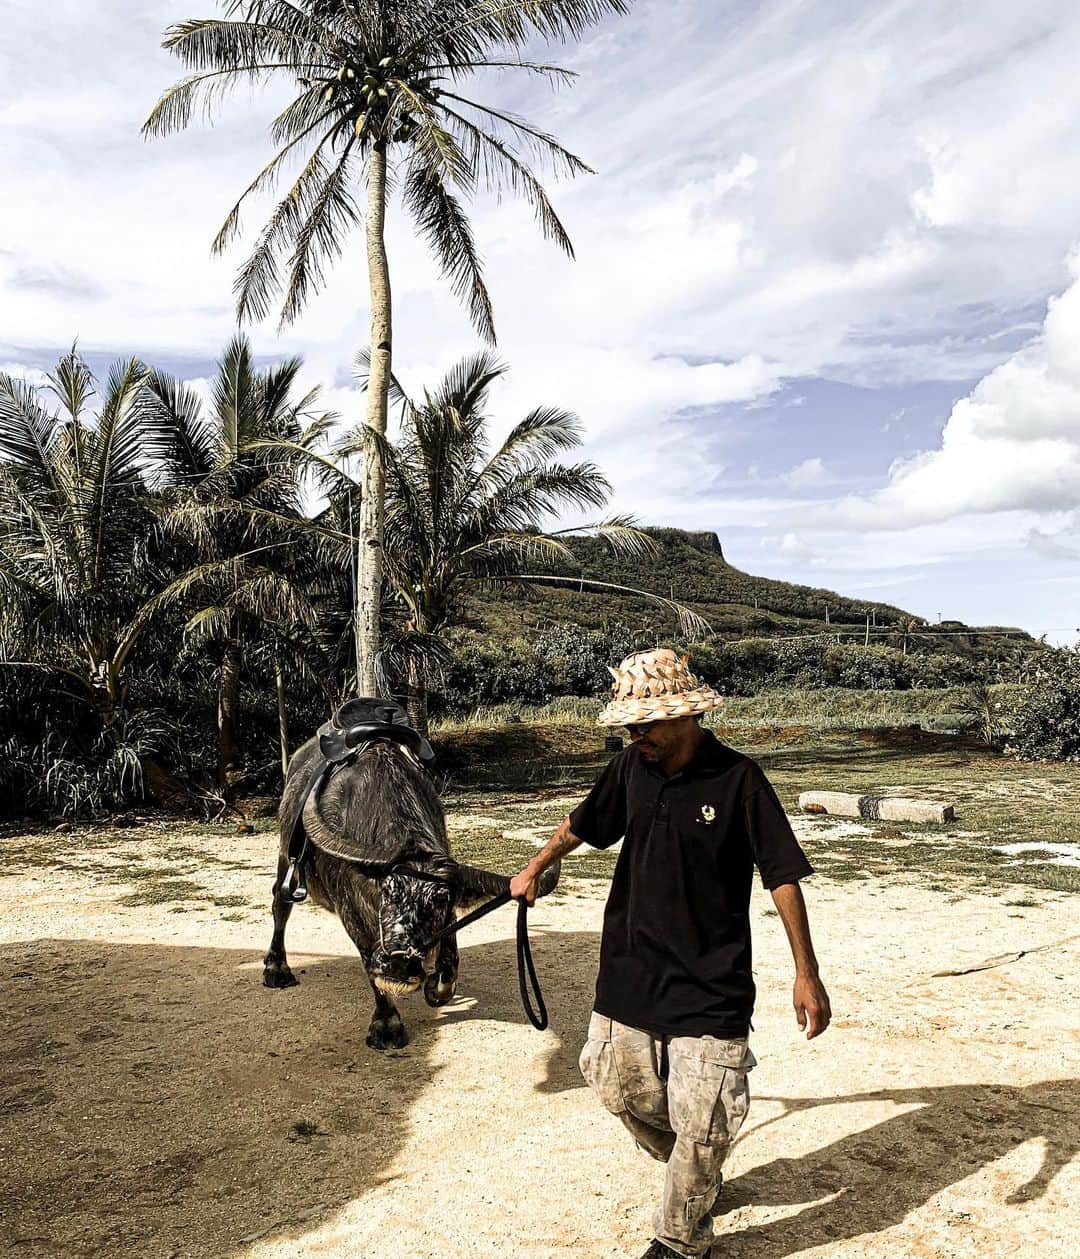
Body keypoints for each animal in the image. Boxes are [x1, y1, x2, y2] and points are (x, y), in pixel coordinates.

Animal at [265, 725, 558, 1047]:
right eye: (388, 892)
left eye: (439, 901)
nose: (399, 964)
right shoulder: (351, 912)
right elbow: (369, 963)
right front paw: (386, 1023)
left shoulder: (448, 911)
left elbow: (450, 959)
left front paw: (435, 988)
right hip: (285, 860)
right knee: (280, 903)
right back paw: (276, 969)